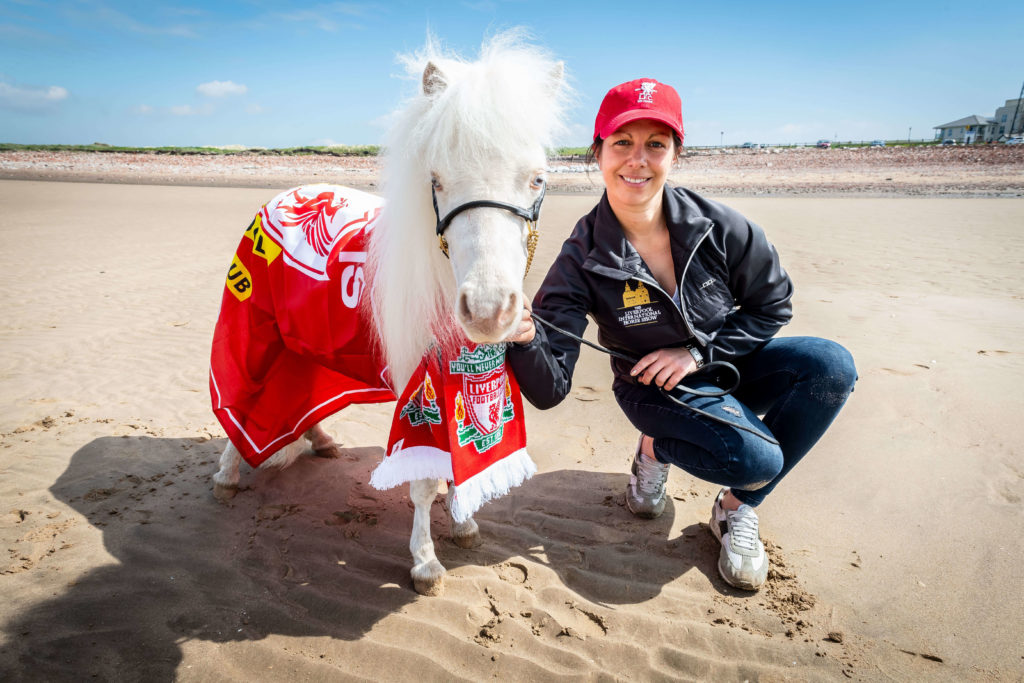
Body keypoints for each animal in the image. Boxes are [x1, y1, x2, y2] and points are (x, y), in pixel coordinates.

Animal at [208, 33, 569, 598]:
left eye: (536, 179)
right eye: (436, 180)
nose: (489, 311)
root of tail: (284, 196)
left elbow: (457, 469)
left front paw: (464, 522)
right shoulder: (420, 391)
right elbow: (423, 480)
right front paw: (425, 561)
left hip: (301, 345)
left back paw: (320, 441)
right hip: (257, 335)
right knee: (242, 403)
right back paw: (227, 474)